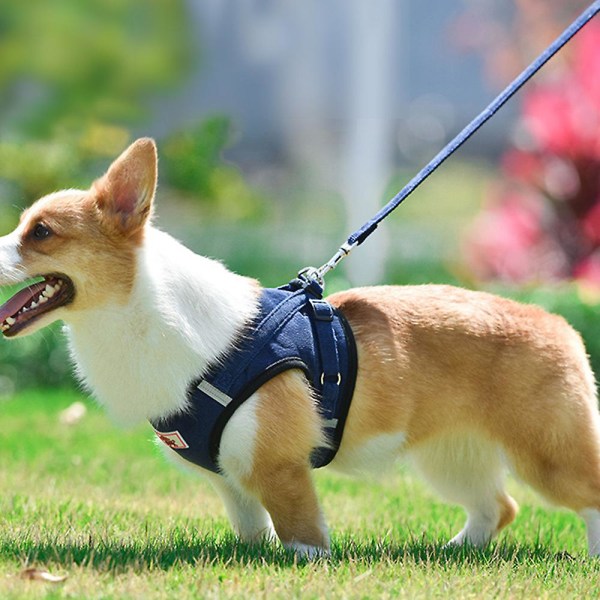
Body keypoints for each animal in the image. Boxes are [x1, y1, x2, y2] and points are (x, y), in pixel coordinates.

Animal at [1, 137, 600, 556]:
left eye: (42, 232)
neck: (136, 311)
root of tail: (557, 323)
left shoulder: (281, 469)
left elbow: (301, 534)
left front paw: (306, 564)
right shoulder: (232, 479)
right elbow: (252, 528)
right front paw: (257, 556)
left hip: (548, 454)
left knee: (584, 494)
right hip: (450, 456)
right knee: (497, 506)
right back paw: (450, 552)